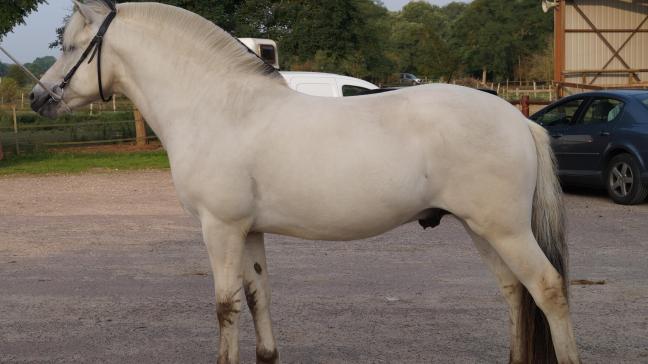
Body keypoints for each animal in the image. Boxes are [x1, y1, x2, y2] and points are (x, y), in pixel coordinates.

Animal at [30, 1, 580, 362]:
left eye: (73, 47)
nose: (38, 97)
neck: (219, 108)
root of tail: (519, 121)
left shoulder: (220, 228)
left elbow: (225, 306)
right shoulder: (249, 230)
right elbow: (259, 297)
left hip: (504, 229)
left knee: (547, 289)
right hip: (481, 228)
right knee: (514, 291)